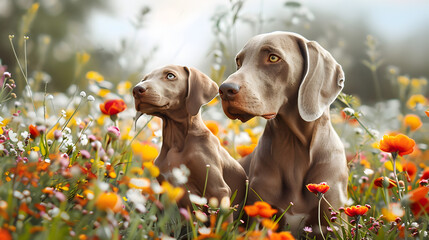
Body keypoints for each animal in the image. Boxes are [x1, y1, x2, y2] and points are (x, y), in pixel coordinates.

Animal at [134, 64, 246, 218]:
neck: (176, 142)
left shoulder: (219, 191)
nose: (136, 90)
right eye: (145, 78)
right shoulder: (164, 191)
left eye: (170, 75)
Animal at [219, 31, 346, 235]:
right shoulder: (260, 216)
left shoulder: (332, 223)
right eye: (239, 61)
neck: (294, 147)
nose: (224, 89)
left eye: (273, 58)